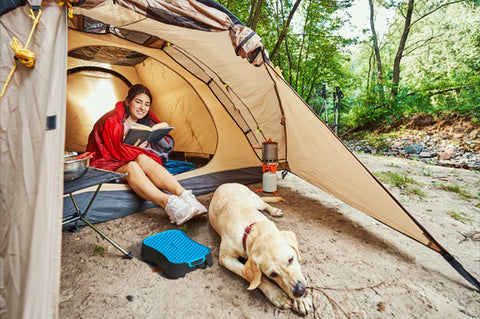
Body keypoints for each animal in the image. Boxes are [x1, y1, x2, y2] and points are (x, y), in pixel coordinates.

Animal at [208, 182, 314, 316]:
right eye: (273, 274)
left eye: (291, 259)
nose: (299, 291)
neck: (253, 232)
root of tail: (226, 183)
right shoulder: (226, 259)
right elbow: (258, 279)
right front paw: (278, 295)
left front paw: (301, 301)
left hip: (255, 200)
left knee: (265, 204)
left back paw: (274, 210)